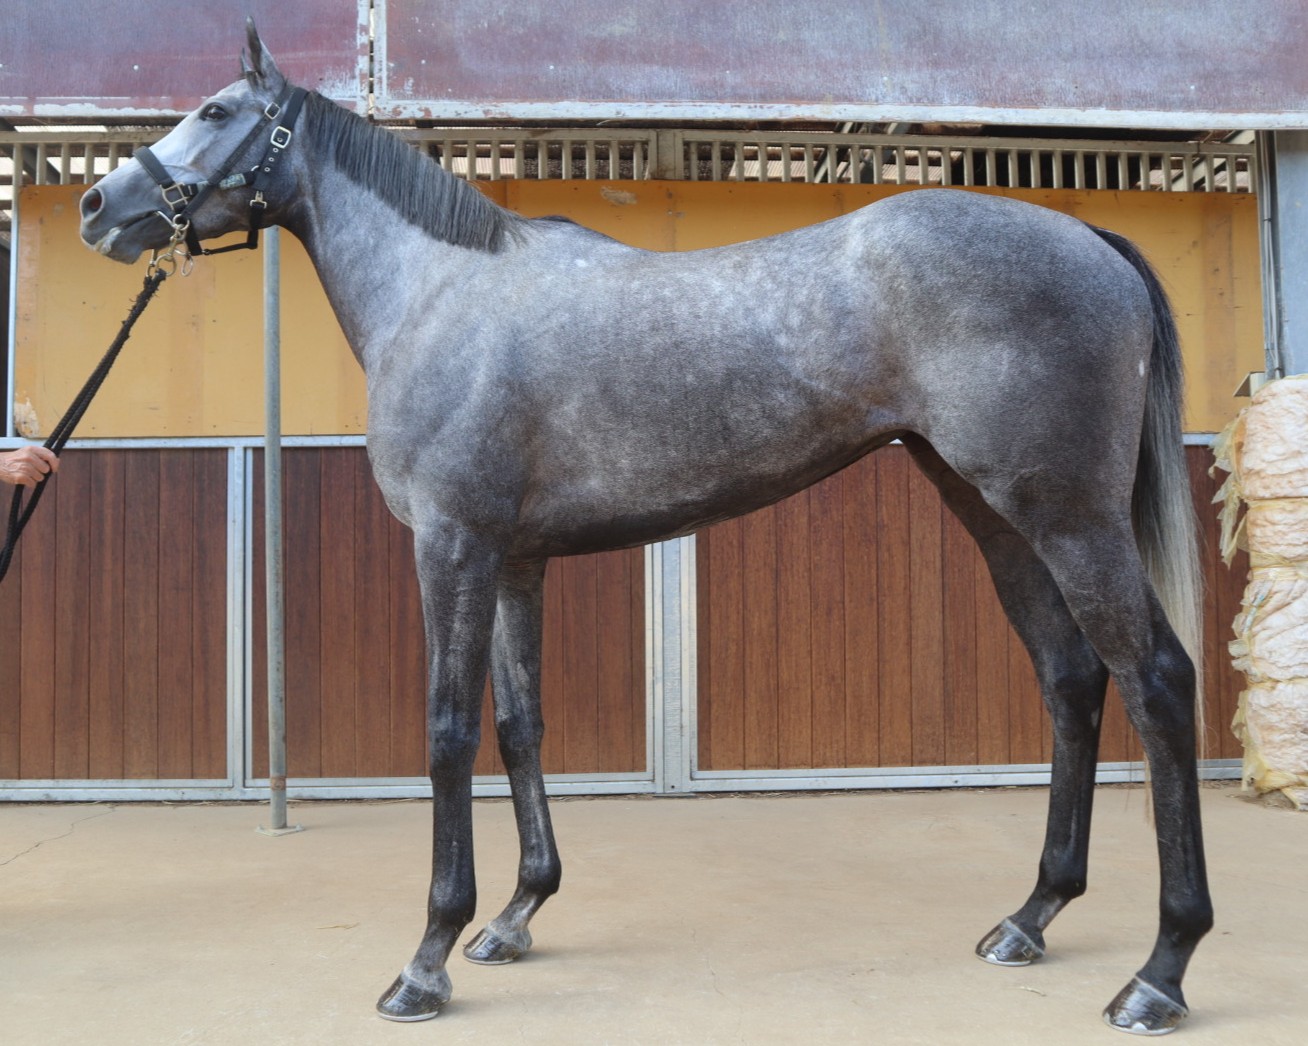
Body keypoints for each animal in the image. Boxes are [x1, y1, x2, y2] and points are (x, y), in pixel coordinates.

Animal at [77, 23, 1212, 1035]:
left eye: (215, 111)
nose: (100, 205)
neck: (439, 294)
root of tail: (1092, 240)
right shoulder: (517, 560)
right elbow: (519, 723)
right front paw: (516, 914)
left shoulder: (452, 546)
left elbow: (447, 731)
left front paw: (427, 957)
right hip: (996, 516)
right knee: (1072, 680)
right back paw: (1031, 917)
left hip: (1067, 517)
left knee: (1156, 680)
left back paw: (1159, 972)